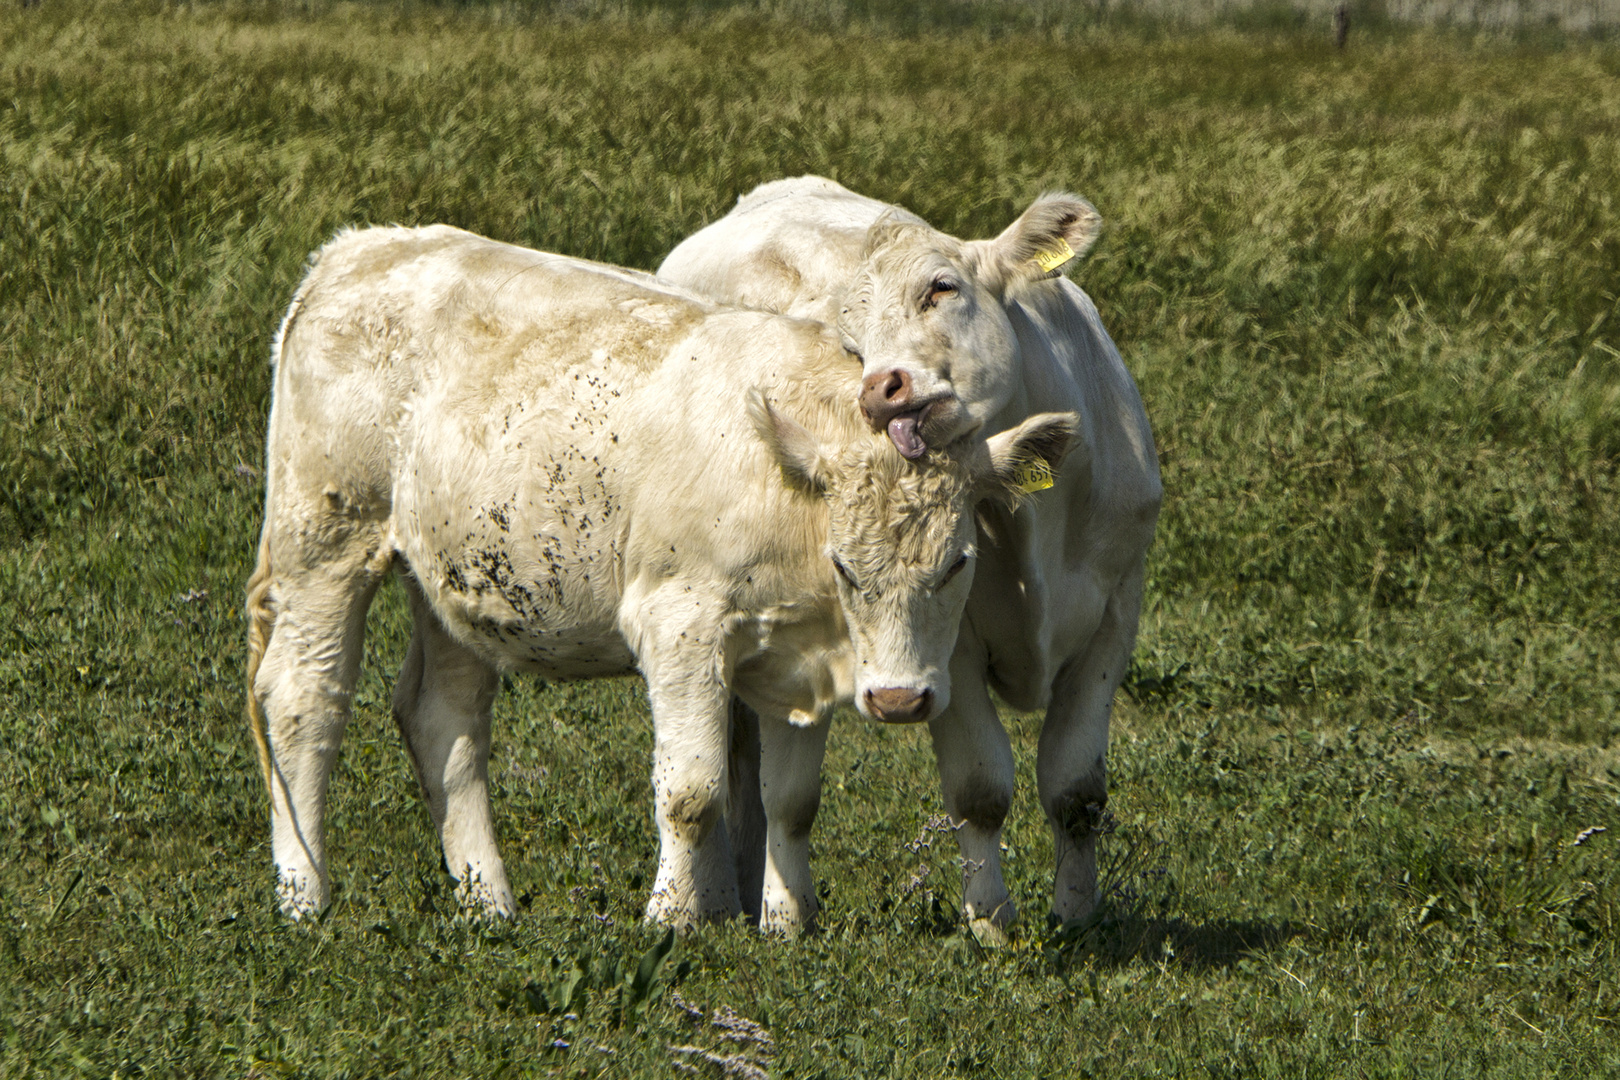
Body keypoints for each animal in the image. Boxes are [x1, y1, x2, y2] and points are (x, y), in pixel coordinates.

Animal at [243, 223, 1075, 932]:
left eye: (958, 562)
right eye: (846, 564)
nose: (901, 701)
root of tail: (356, 247)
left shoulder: (799, 653)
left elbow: (791, 801)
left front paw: (786, 926)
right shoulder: (680, 628)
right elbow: (693, 793)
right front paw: (673, 918)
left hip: (453, 575)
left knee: (444, 717)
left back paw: (489, 904)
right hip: (327, 538)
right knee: (301, 698)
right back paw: (304, 897)